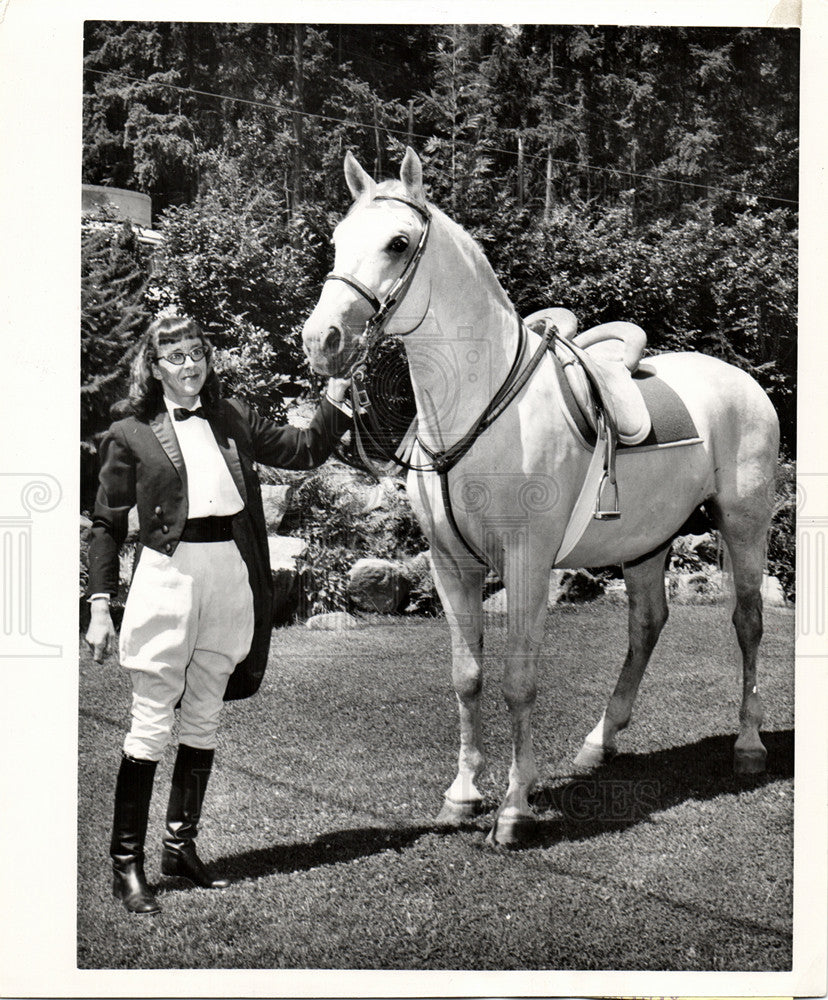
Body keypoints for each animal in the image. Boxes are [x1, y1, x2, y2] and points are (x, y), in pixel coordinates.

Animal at [300, 146, 780, 844]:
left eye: (397, 243)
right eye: (337, 240)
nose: (322, 340)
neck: (477, 406)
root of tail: (743, 382)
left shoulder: (527, 560)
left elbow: (518, 682)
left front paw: (513, 808)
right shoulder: (451, 565)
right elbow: (467, 677)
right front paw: (463, 795)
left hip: (745, 525)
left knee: (747, 622)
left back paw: (747, 744)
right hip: (648, 542)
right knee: (647, 622)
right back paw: (599, 742)